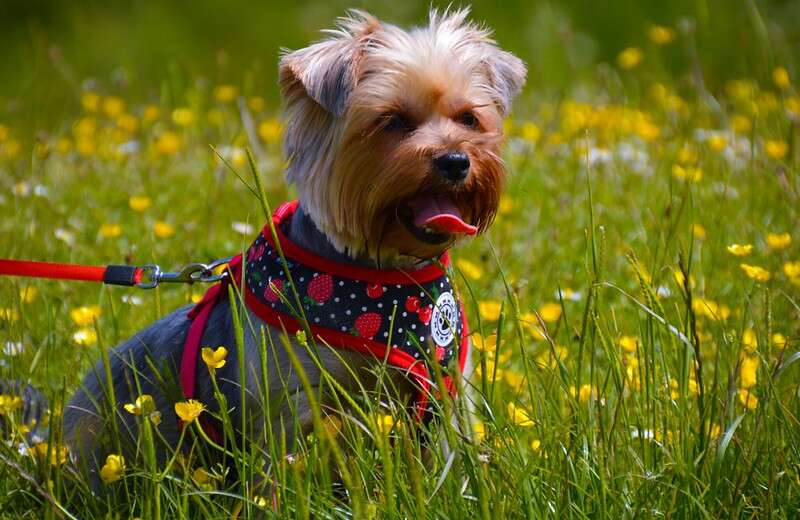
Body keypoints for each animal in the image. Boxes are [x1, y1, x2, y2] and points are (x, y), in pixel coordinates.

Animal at [59, 8, 528, 486]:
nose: (455, 160)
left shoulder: (447, 385)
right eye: (392, 120)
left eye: (468, 119)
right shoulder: (297, 395)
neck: (386, 271)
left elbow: (451, 453)